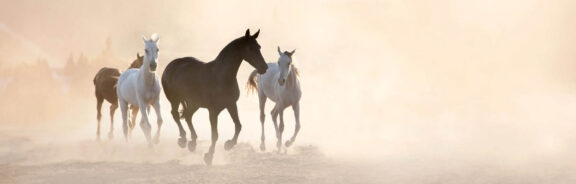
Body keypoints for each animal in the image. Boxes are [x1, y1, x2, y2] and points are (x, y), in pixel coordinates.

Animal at [163, 29, 268, 165]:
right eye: (250, 48)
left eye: (259, 47)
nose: (264, 67)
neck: (221, 76)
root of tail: (171, 65)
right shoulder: (213, 111)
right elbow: (215, 135)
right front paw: (209, 156)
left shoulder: (231, 104)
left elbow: (238, 126)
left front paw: (228, 144)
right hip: (175, 100)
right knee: (176, 115)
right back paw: (184, 139)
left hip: (194, 103)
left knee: (187, 116)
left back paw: (192, 142)